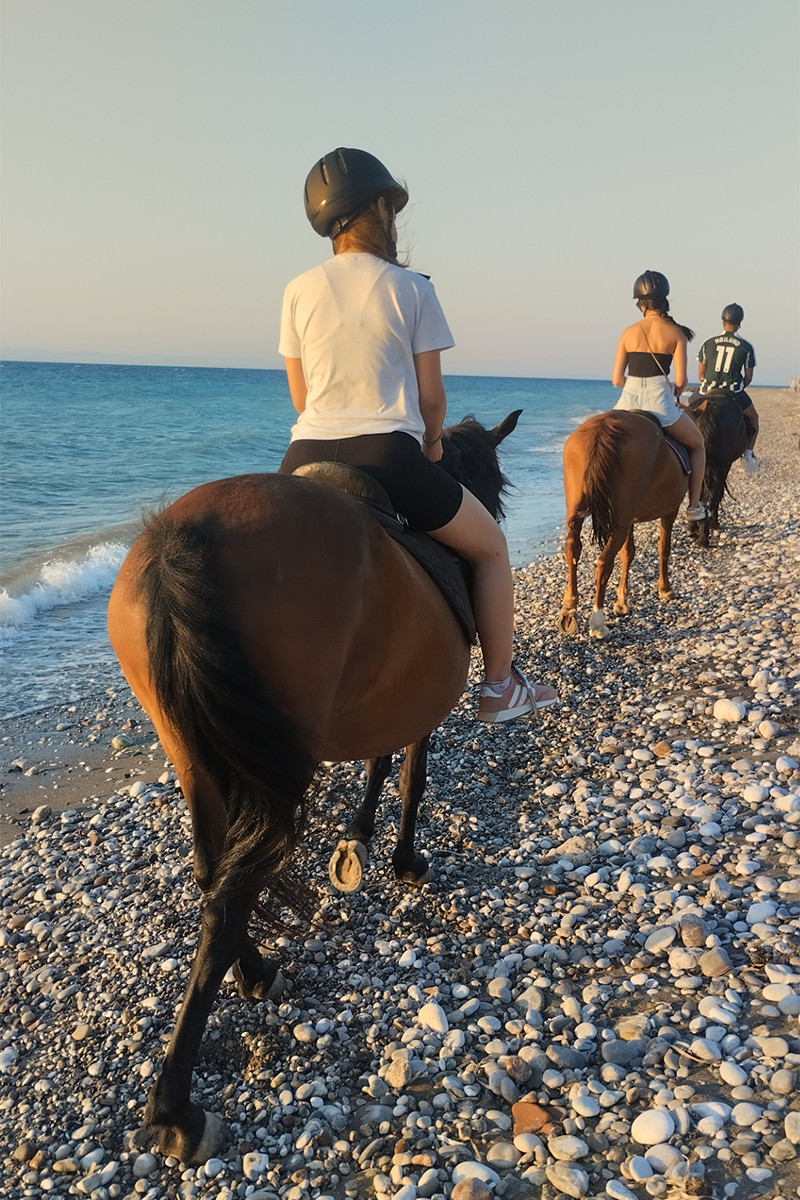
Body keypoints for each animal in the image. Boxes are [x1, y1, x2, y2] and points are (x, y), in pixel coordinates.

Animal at [106, 410, 521, 1163]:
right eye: (494, 481)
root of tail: (179, 537)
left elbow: (381, 768)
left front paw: (357, 839)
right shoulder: (418, 705)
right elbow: (408, 776)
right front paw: (401, 858)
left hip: (194, 756)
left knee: (213, 874)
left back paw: (255, 972)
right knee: (230, 897)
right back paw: (177, 1109)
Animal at [558, 409, 689, 641]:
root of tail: (604, 427)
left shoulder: (631, 519)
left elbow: (628, 553)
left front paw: (621, 602)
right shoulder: (670, 510)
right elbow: (663, 549)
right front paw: (665, 588)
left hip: (581, 511)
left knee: (573, 547)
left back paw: (570, 608)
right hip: (621, 517)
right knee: (604, 562)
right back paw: (598, 622)